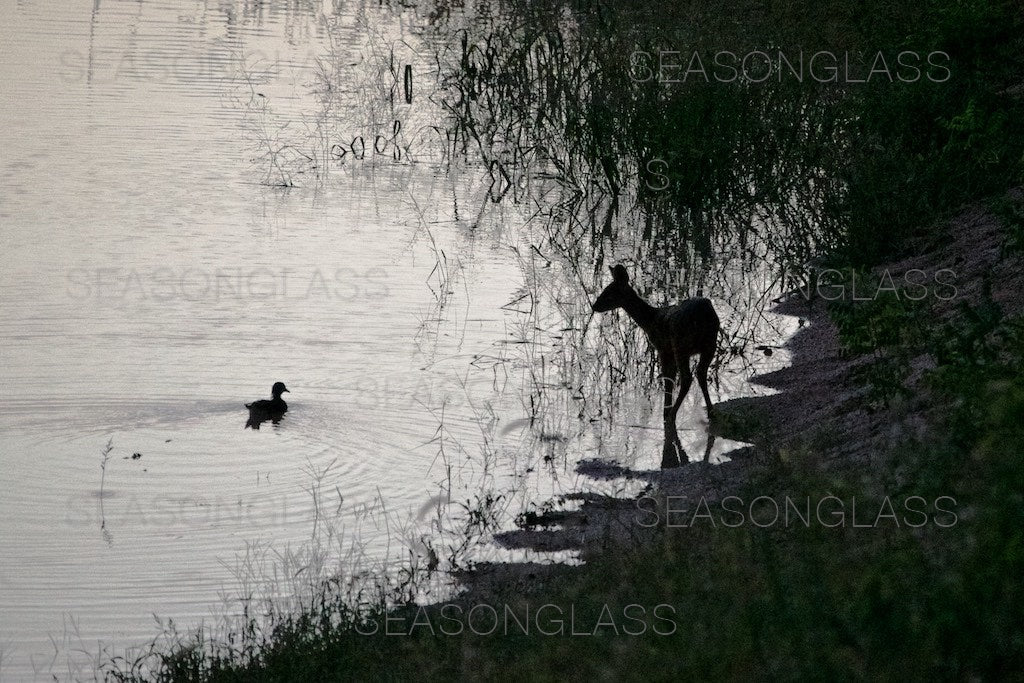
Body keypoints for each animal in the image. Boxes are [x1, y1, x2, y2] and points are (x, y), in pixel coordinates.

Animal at [593, 264, 720, 423]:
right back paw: (710, 411)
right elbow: (670, 377)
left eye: (608, 293)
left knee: (687, 378)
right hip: (710, 343)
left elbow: (668, 377)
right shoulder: (668, 351)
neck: (650, 321)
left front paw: (666, 411)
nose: (594, 306)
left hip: (681, 344)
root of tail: (703, 316)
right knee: (701, 372)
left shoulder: (663, 348)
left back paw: (673, 414)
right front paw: (666, 409)